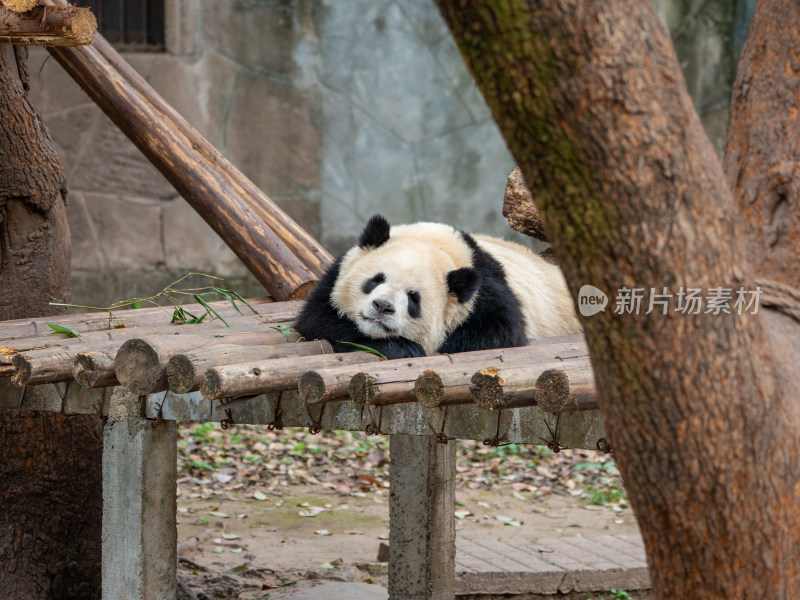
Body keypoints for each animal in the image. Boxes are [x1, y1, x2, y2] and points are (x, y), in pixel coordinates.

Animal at [294, 214, 580, 358]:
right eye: (376, 279)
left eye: (413, 299)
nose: (383, 306)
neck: (436, 244)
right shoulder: (335, 275)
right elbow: (318, 321)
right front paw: (400, 347)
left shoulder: (486, 290)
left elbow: (502, 331)